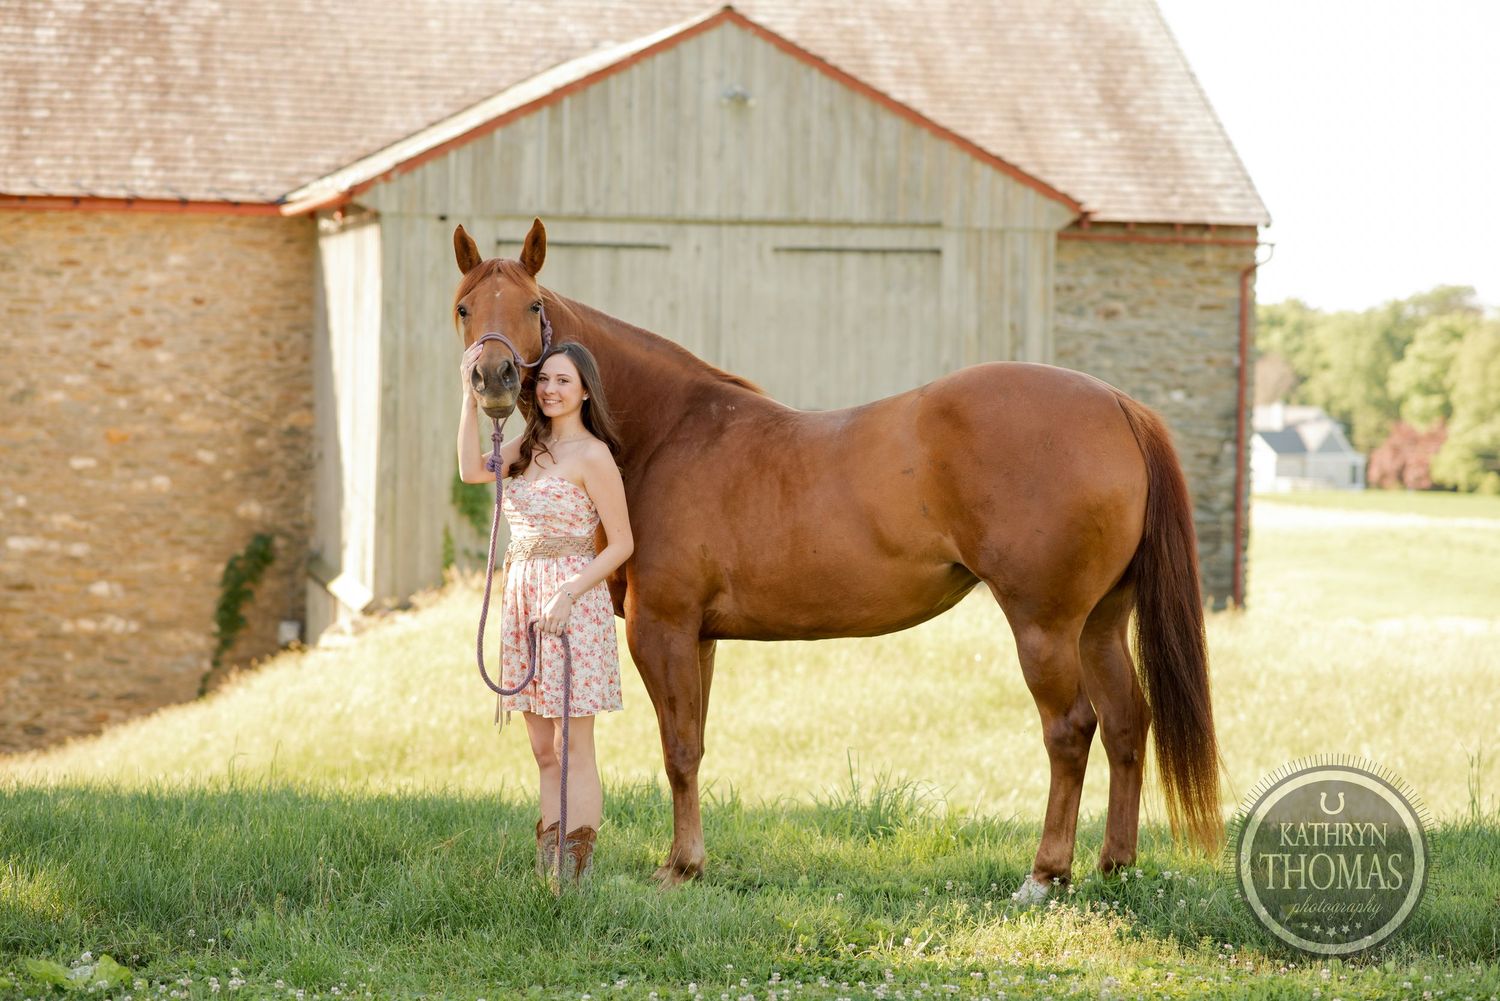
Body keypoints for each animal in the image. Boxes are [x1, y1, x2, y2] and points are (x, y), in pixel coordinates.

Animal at [453, 218, 1222, 893]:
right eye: (463, 306)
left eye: (532, 305)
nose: (493, 377)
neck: (668, 431)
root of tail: (1117, 404)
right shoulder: (697, 636)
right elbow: (693, 743)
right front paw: (691, 861)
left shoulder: (661, 629)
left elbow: (676, 749)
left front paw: (678, 869)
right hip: (1101, 623)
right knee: (1127, 723)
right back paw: (1114, 864)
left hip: (1046, 624)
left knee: (1070, 730)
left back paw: (1044, 874)